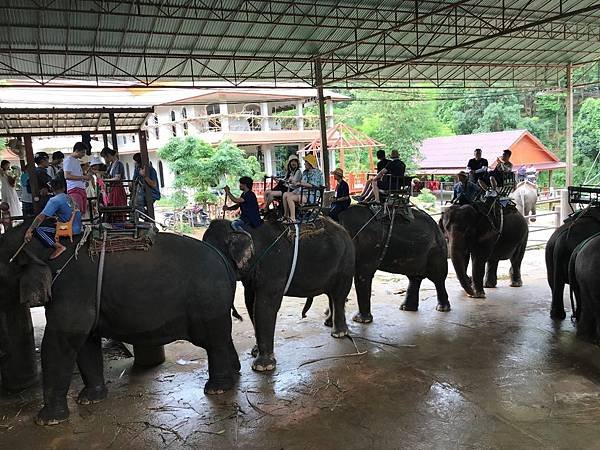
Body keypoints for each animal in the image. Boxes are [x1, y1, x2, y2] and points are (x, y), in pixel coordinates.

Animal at [0, 223, 239, 428]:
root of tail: (222, 259)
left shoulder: (71, 291)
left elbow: (59, 341)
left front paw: (46, 421)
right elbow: (86, 341)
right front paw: (90, 400)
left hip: (208, 299)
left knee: (214, 341)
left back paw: (216, 389)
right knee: (222, 336)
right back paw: (233, 375)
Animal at [204, 219, 354, 372]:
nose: (237, 317)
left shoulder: (273, 267)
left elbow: (264, 306)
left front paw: (262, 367)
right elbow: (250, 304)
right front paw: (255, 352)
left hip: (346, 262)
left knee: (339, 295)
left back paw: (339, 333)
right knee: (331, 293)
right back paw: (329, 323)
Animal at [318, 204, 450, 324]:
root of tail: (437, 226)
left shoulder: (368, 248)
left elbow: (362, 276)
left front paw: (360, 320)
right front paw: (329, 319)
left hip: (436, 251)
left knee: (438, 278)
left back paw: (442, 308)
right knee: (414, 277)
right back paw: (406, 308)